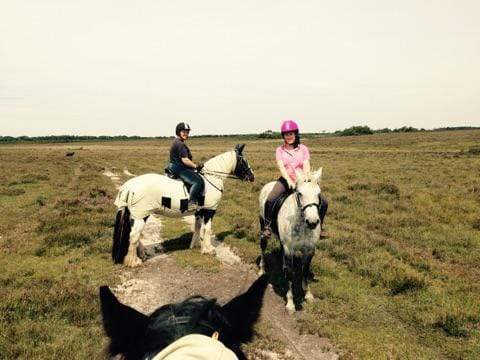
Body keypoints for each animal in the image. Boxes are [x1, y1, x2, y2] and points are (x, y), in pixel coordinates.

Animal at [112, 144, 255, 268]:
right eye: (244, 160)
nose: (252, 176)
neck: (211, 179)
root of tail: (128, 186)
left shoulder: (199, 212)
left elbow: (198, 228)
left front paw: (196, 246)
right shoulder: (209, 211)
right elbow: (207, 229)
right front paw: (208, 249)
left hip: (138, 215)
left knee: (135, 235)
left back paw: (142, 253)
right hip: (141, 215)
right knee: (134, 236)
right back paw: (134, 261)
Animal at [258, 169, 322, 312]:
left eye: (318, 193)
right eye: (300, 193)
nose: (312, 222)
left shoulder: (309, 250)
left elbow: (305, 271)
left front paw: (308, 294)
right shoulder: (289, 249)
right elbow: (291, 273)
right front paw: (290, 303)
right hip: (263, 227)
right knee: (263, 247)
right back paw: (261, 269)